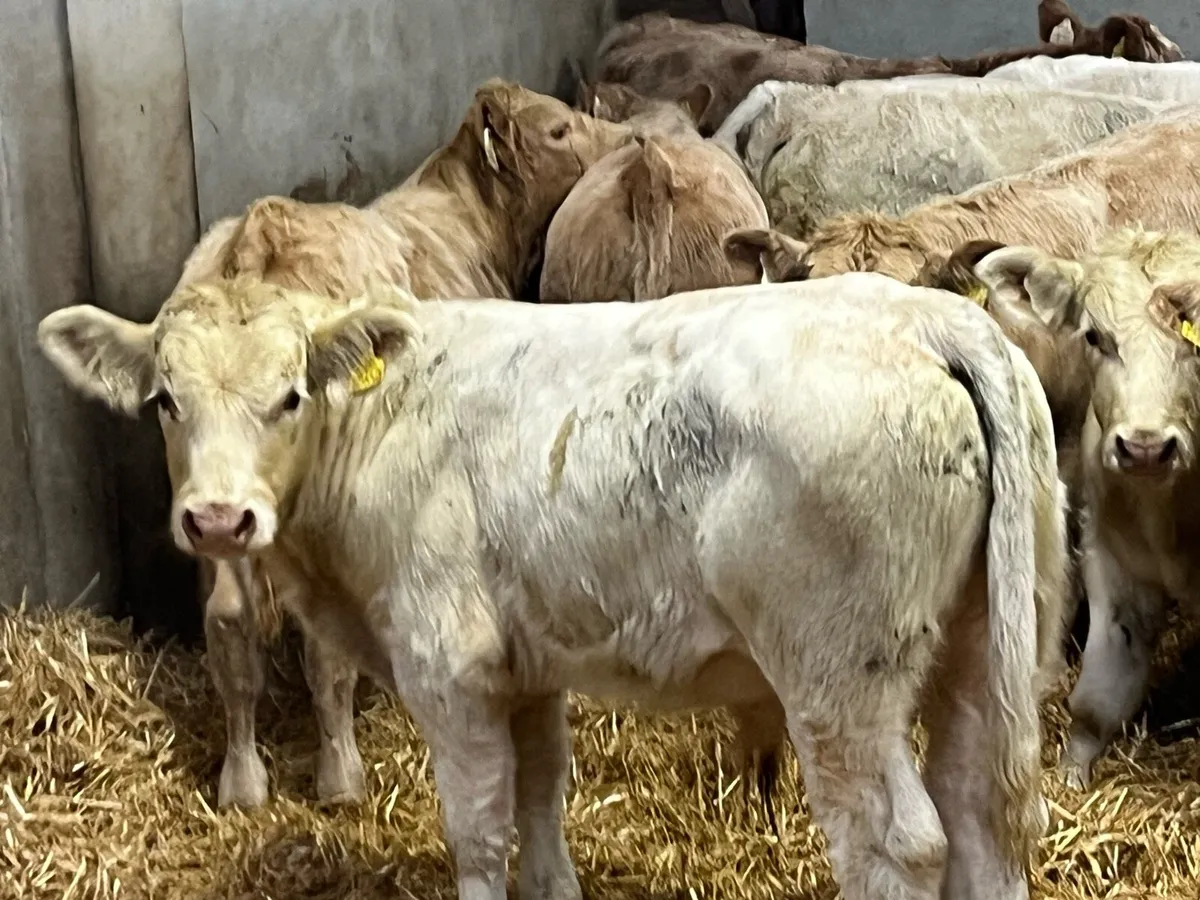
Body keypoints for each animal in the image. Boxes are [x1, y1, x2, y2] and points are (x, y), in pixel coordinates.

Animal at [37, 273, 1070, 900]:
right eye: (165, 400)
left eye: (290, 395)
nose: (218, 520)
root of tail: (929, 316)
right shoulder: (527, 669)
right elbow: (540, 805)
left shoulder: (449, 666)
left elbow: (479, 829)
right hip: (984, 641)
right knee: (982, 816)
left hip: (839, 678)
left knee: (899, 840)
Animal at [162, 79, 633, 811]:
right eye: (558, 129)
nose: (630, 137)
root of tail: (262, 228)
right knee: (319, 646)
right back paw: (340, 778)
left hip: (216, 504)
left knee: (231, 626)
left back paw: (243, 784)